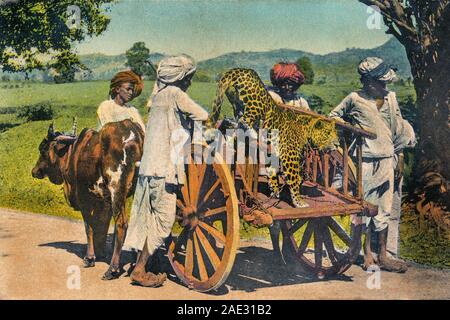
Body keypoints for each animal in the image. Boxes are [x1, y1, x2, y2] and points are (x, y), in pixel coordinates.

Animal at [206, 67, 336, 208]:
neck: (305, 130)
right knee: (244, 119)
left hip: (236, 102)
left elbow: (272, 172)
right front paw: (298, 201)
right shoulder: (290, 157)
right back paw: (253, 133)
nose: (337, 144)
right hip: (258, 105)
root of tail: (241, 69)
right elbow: (295, 180)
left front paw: (275, 191)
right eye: (328, 133)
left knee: (233, 120)